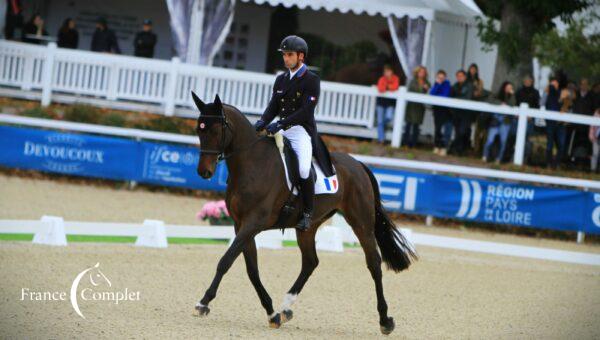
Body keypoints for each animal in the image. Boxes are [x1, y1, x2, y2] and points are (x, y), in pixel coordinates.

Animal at [192, 91, 418, 334]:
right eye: (199, 130)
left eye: (216, 130)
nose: (204, 172)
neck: (252, 163)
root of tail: (358, 164)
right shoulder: (241, 225)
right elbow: (252, 270)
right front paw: (272, 313)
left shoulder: (253, 223)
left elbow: (226, 261)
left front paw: (203, 303)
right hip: (308, 228)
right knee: (311, 262)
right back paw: (285, 308)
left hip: (361, 222)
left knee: (374, 263)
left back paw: (385, 320)